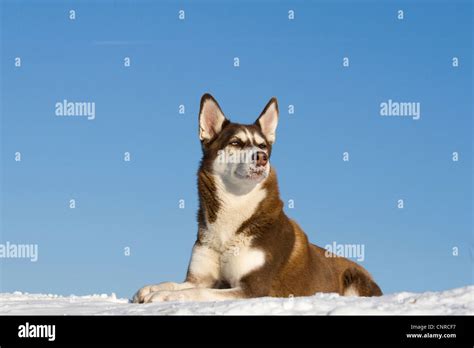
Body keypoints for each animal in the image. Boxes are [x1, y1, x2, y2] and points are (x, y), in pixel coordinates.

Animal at [132, 94, 382, 304]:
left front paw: (164, 296)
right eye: (235, 143)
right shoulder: (200, 277)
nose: (261, 157)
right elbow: (178, 284)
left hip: (353, 277)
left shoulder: (254, 288)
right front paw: (152, 288)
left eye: (262, 145)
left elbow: (198, 292)